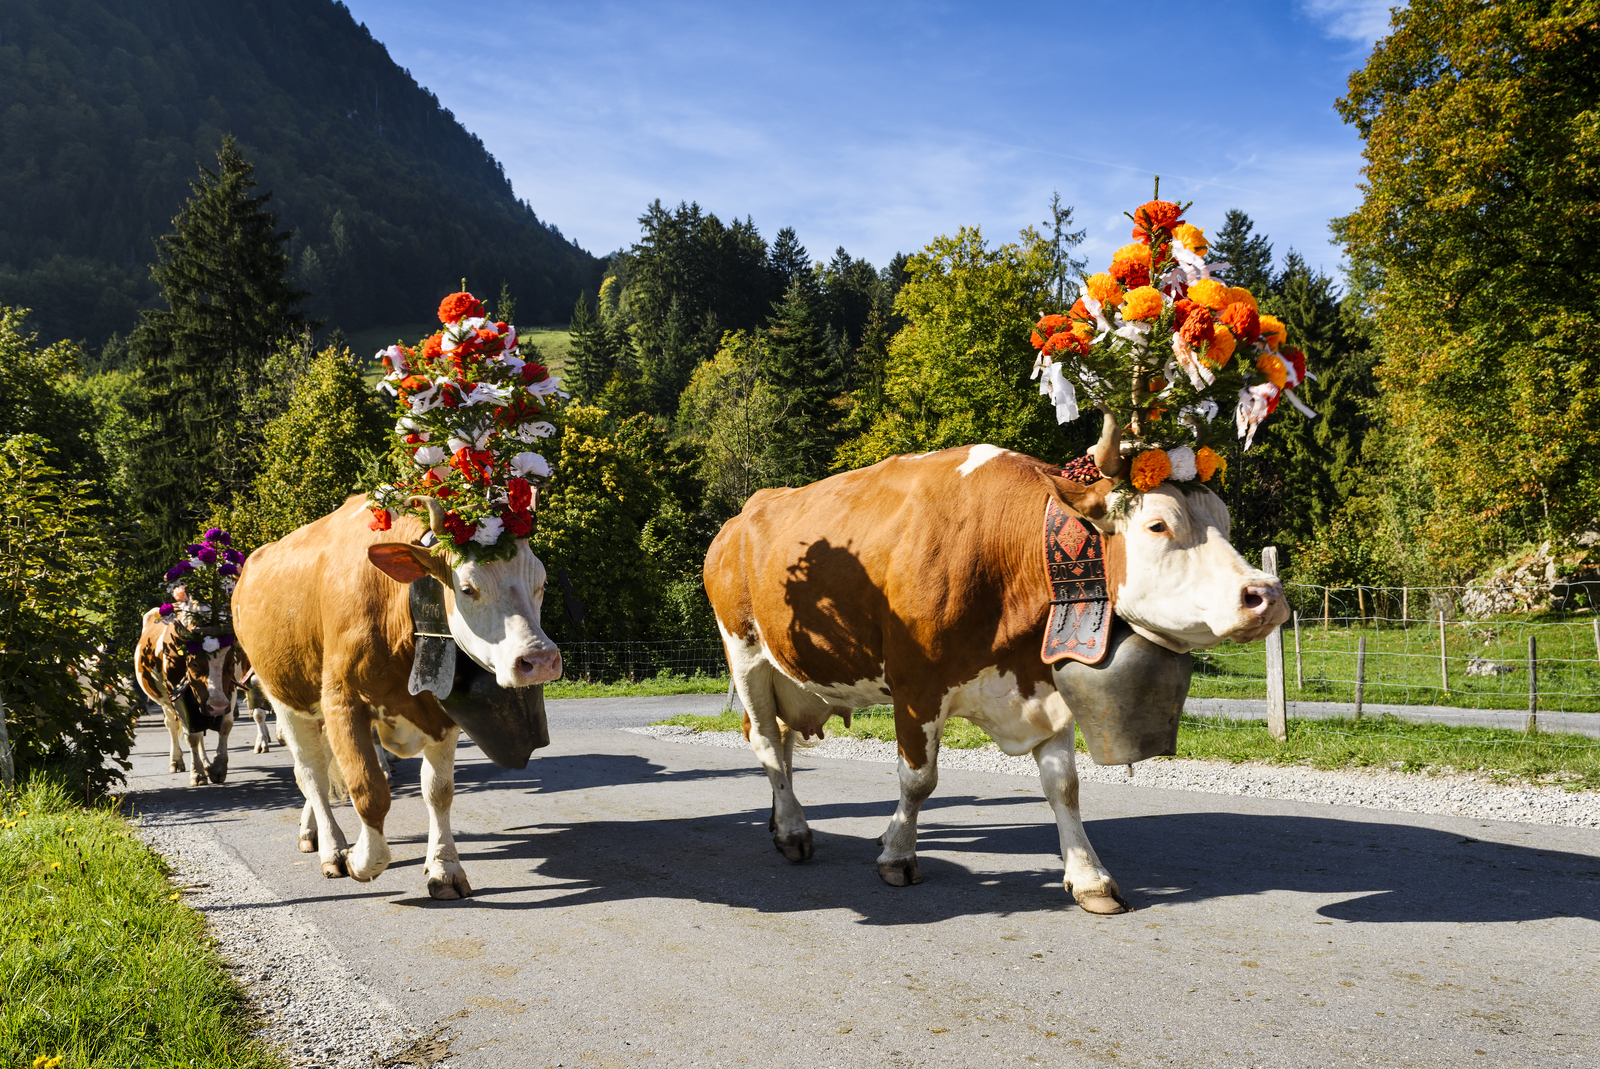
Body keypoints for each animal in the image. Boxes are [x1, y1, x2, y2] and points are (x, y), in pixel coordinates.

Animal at [136, 608, 251, 784]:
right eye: (194, 664)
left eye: (231, 663)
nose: (217, 706)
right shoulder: (176, 695)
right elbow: (191, 736)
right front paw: (197, 773)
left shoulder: (229, 691)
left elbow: (225, 727)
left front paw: (217, 767)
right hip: (165, 702)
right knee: (172, 725)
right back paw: (176, 761)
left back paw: (206, 763)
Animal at [232, 496, 563, 896]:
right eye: (467, 588)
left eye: (542, 582)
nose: (540, 660)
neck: (397, 609)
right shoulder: (342, 701)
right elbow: (368, 790)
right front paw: (360, 860)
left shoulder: (440, 711)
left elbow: (438, 790)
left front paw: (444, 868)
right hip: (284, 697)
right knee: (310, 774)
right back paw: (331, 847)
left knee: (321, 770)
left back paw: (312, 831)